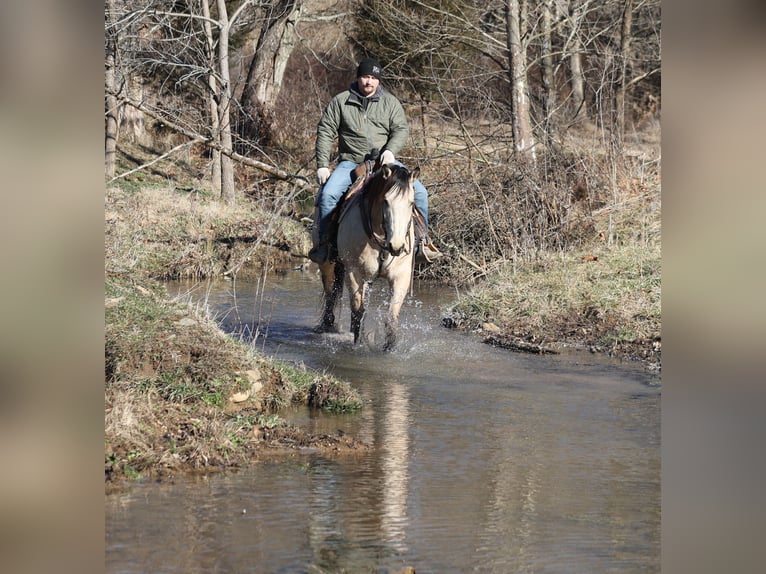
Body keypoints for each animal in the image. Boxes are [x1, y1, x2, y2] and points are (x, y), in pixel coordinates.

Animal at [312, 163, 419, 350]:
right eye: (386, 201)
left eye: (411, 203)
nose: (397, 246)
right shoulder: (354, 272)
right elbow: (357, 312)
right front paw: (359, 344)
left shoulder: (401, 276)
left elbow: (391, 318)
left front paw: (389, 348)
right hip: (328, 264)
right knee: (330, 293)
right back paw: (327, 325)